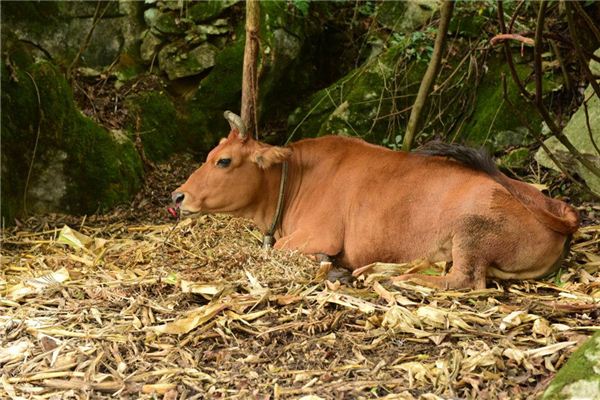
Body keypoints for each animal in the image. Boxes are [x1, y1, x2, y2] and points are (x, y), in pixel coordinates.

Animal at [172, 111, 576, 290]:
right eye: (210, 154)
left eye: (223, 161)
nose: (178, 195)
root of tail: (556, 211)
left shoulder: (319, 235)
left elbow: (279, 252)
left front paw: (332, 267)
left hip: (471, 229)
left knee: (462, 281)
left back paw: (388, 277)